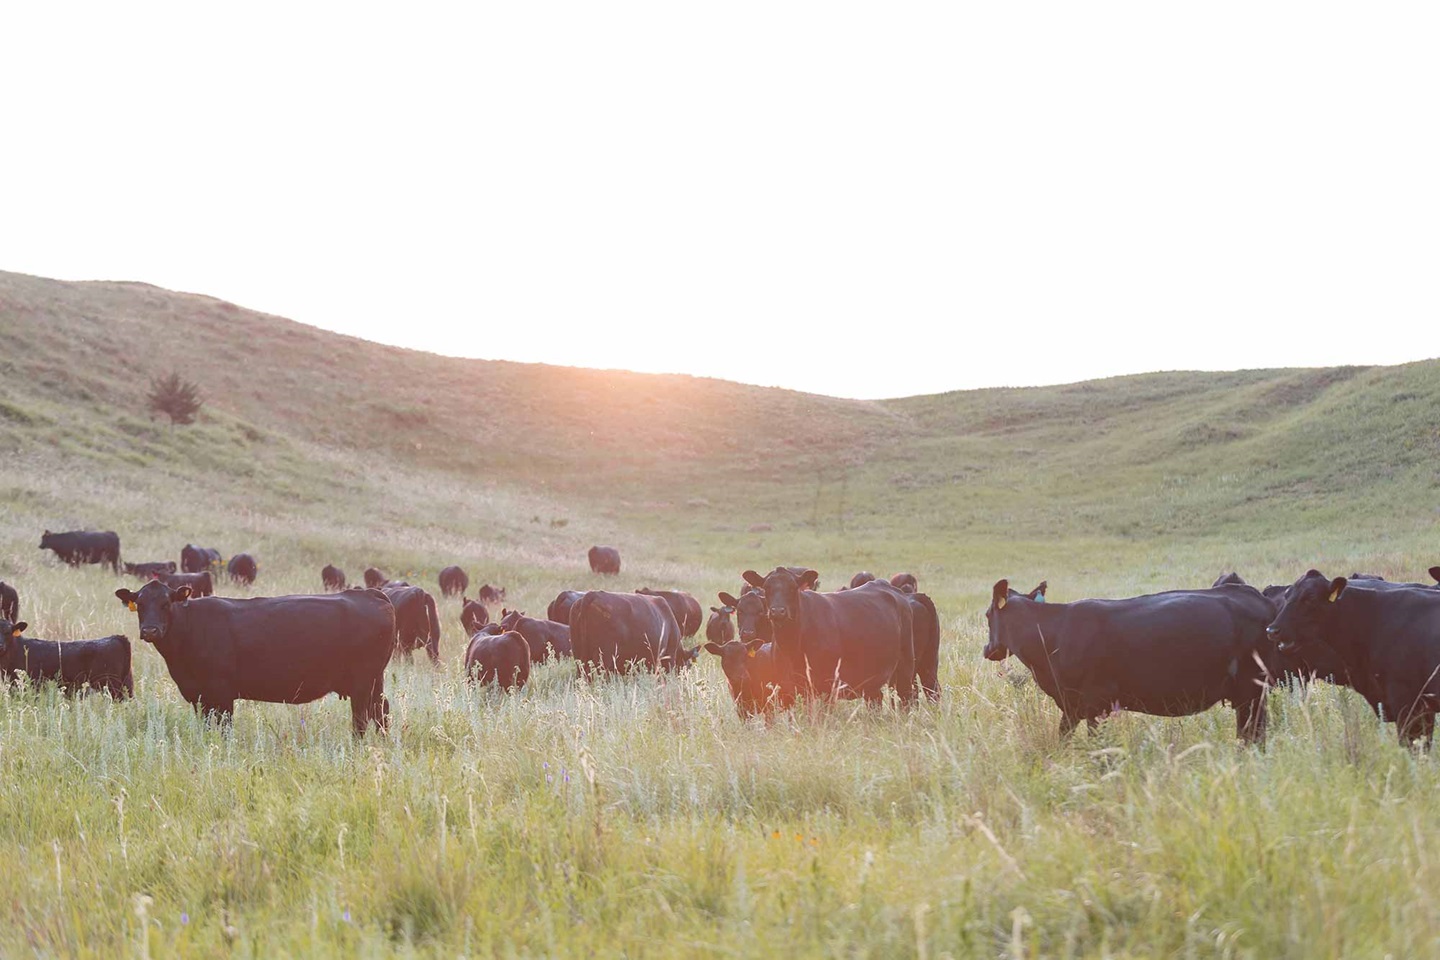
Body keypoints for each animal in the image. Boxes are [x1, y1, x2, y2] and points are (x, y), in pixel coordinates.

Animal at [114, 581, 391, 731]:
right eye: (140, 604)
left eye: (166, 603)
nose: (150, 630)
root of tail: (369, 593)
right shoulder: (198, 695)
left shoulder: (221, 692)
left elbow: (224, 728)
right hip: (374, 682)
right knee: (381, 712)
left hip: (363, 682)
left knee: (362, 718)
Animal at [743, 564, 910, 705]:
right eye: (766, 587)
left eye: (793, 587)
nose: (778, 611)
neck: (793, 645)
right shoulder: (789, 686)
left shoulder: (827, 685)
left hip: (905, 667)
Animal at [984, 578, 1278, 742]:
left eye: (987, 615)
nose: (988, 648)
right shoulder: (1071, 705)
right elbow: (1062, 740)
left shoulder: (1095, 703)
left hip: (1252, 691)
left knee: (1254, 736)